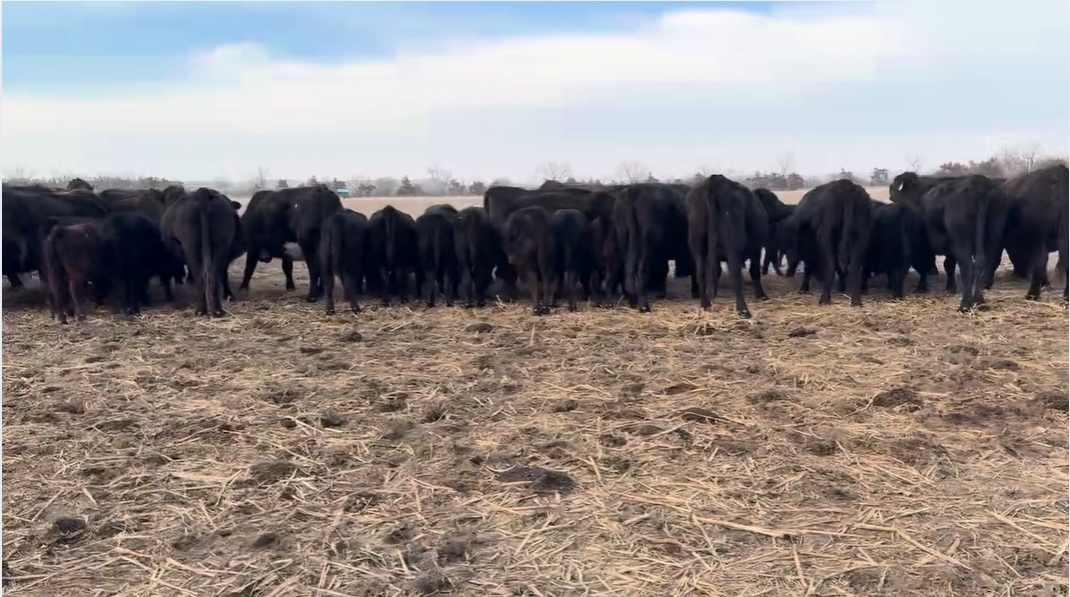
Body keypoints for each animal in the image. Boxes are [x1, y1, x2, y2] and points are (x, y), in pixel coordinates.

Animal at [159, 188, 241, 318]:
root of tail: (203, 191)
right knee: (216, 276)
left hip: (191, 245)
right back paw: (218, 310)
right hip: (221, 243)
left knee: (200, 277)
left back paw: (200, 310)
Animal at [684, 176, 770, 320]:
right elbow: (754, 271)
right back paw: (743, 310)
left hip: (697, 244)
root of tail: (715, 180)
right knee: (735, 275)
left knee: (701, 273)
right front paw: (761, 295)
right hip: (733, 244)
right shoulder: (756, 249)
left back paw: (705, 305)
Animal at [890, 172, 1005, 310]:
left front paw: (920, 287)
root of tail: (979, 182)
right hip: (992, 236)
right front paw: (951, 288)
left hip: (962, 241)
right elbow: (948, 265)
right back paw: (979, 301)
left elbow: (922, 265)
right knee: (982, 263)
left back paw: (965, 305)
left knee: (967, 266)